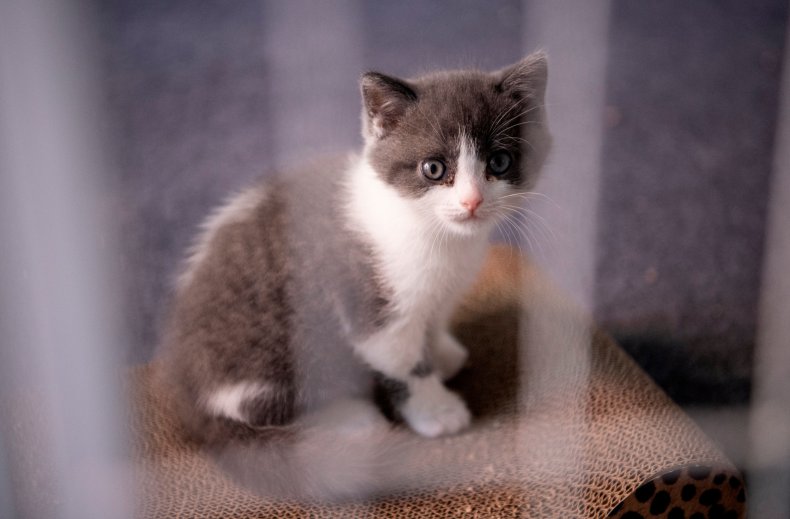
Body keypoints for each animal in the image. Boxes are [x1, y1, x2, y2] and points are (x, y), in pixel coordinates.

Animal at [153, 51, 552, 500]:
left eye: (499, 162)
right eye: (433, 168)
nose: (472, 201)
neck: (440, 238)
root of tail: (189, 397)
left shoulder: (438, 293)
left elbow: (431, 325)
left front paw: (442, 353)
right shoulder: (374, 310)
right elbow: (405, 364)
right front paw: (437, 409)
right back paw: (352, 418)